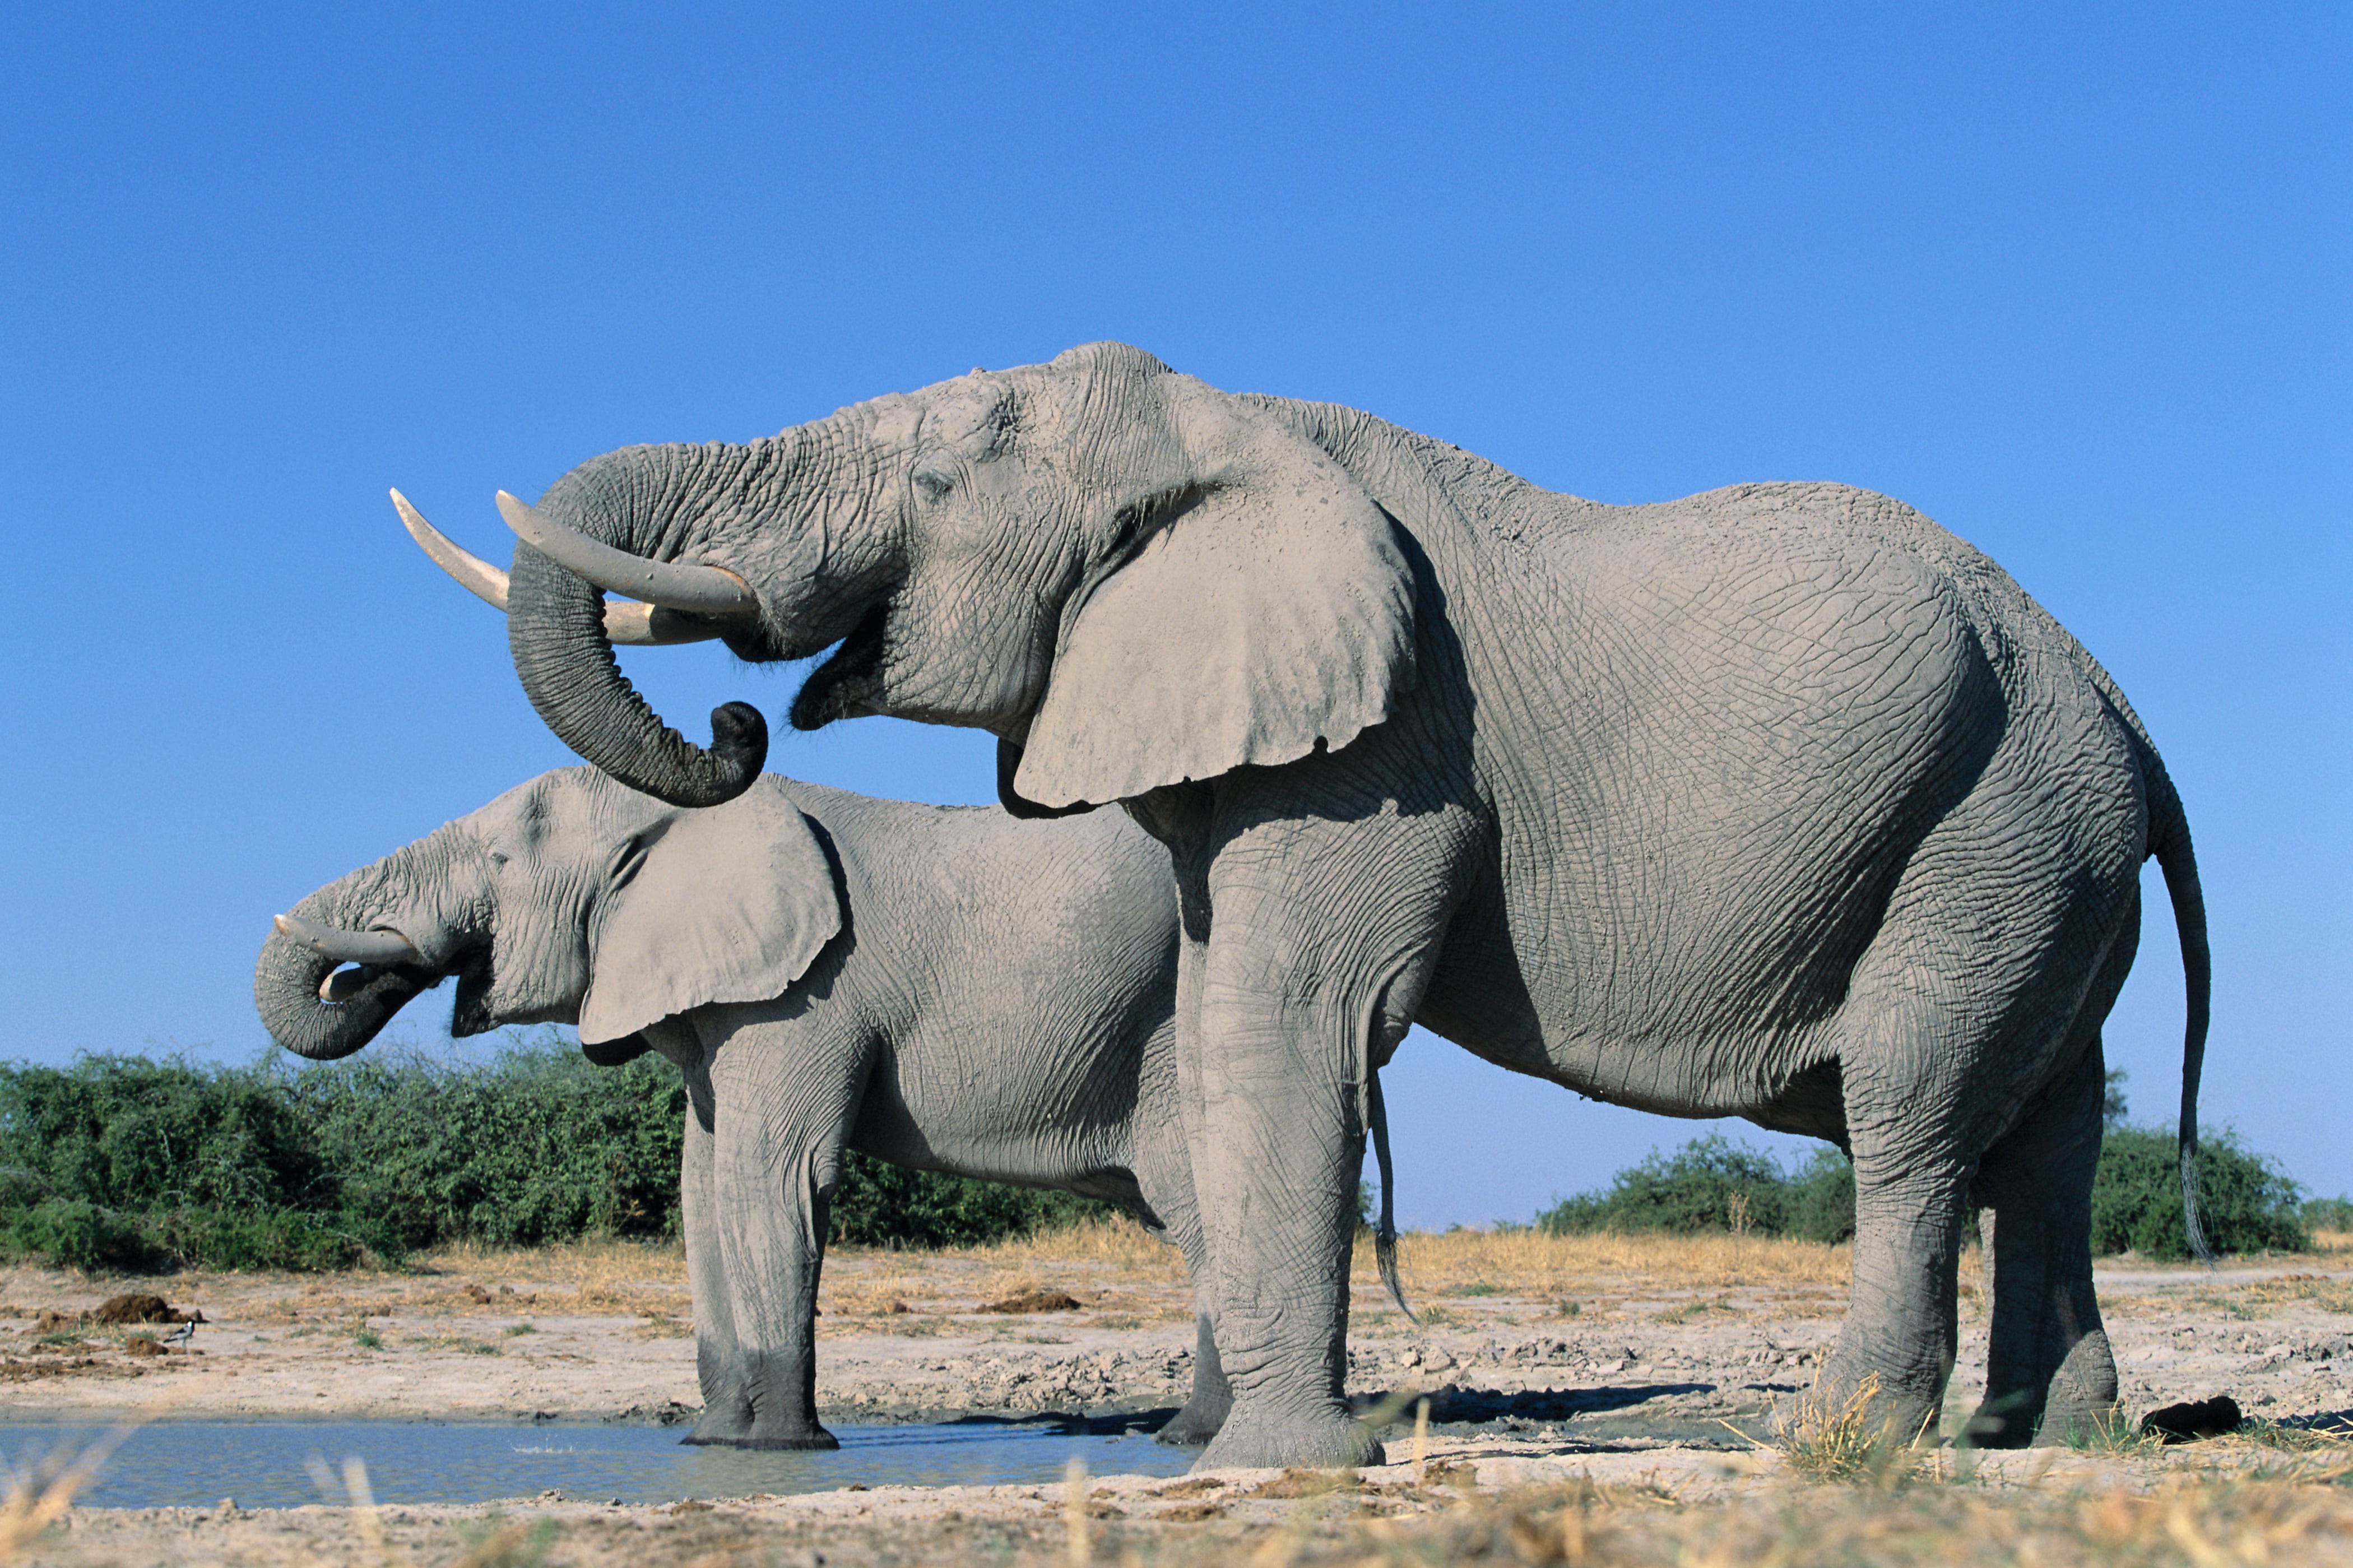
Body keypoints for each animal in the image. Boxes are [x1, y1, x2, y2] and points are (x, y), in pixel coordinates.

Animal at [254, 762, 1250, 1449]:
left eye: (497, 862)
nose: (371, 965)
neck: (680, 817)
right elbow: (703, 1191)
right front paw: (714, 1442)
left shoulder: (804, 992)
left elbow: (774, 1177)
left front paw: (779, 1448)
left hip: (1172, 1023)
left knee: (1200, 1200)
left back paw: (1193, 1434)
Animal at [399, 341, 2210, 1467]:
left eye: (933, 478)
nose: (732, 723)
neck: (1231, 418)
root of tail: (2124, 712)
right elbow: (1228, 1016)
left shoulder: (1386, 738)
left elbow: (1284, 1013)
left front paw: (1283, 1463)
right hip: (2038, 852)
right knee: (2043, 1127)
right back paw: (2039, 1438)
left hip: (1988, 829)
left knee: (1911, 1117)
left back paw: (1836, 1438)